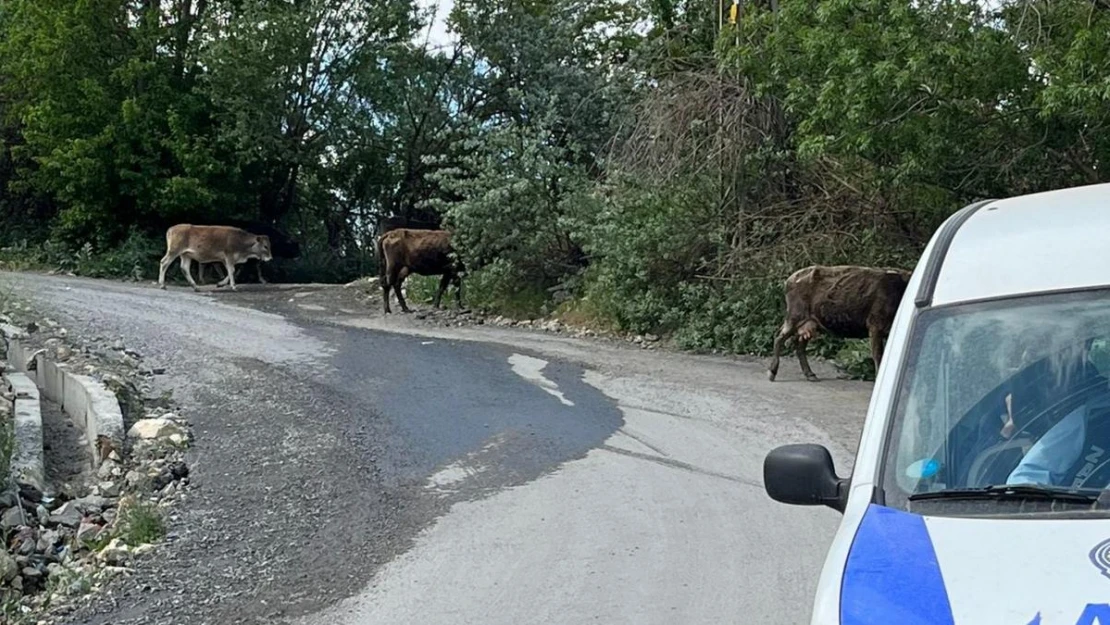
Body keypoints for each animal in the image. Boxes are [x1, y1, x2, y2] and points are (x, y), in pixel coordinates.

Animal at [768, 264, 914, 381]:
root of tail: (791, 278)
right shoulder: (876, 325)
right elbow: (878, 355)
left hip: (810, 323)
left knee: (799, 346)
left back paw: (810, 374)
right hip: (795, 317)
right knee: (779, 338)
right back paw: (772, 372)